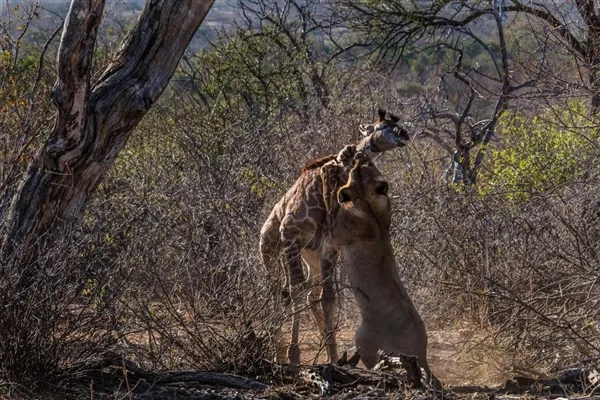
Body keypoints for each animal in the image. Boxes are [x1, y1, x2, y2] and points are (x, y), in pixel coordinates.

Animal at [258, 108, 408, 364]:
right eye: (381, 127)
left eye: (396, 124)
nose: (404, 134)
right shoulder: (291, 232)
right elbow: (296, 291)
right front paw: (294, 354)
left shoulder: (329, 248)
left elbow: (328, 298)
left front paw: (333, 356)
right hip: (270, 250)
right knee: (278, 291)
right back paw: (279, 351)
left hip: (312, 259)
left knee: (311, 294)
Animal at [328, 152, 440, 388]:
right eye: (368, 163)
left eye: (363, 167)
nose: (359, 155)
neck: (369, 204)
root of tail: (422, 354)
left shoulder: (339, 230)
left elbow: (333, 205)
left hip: (363, 339)